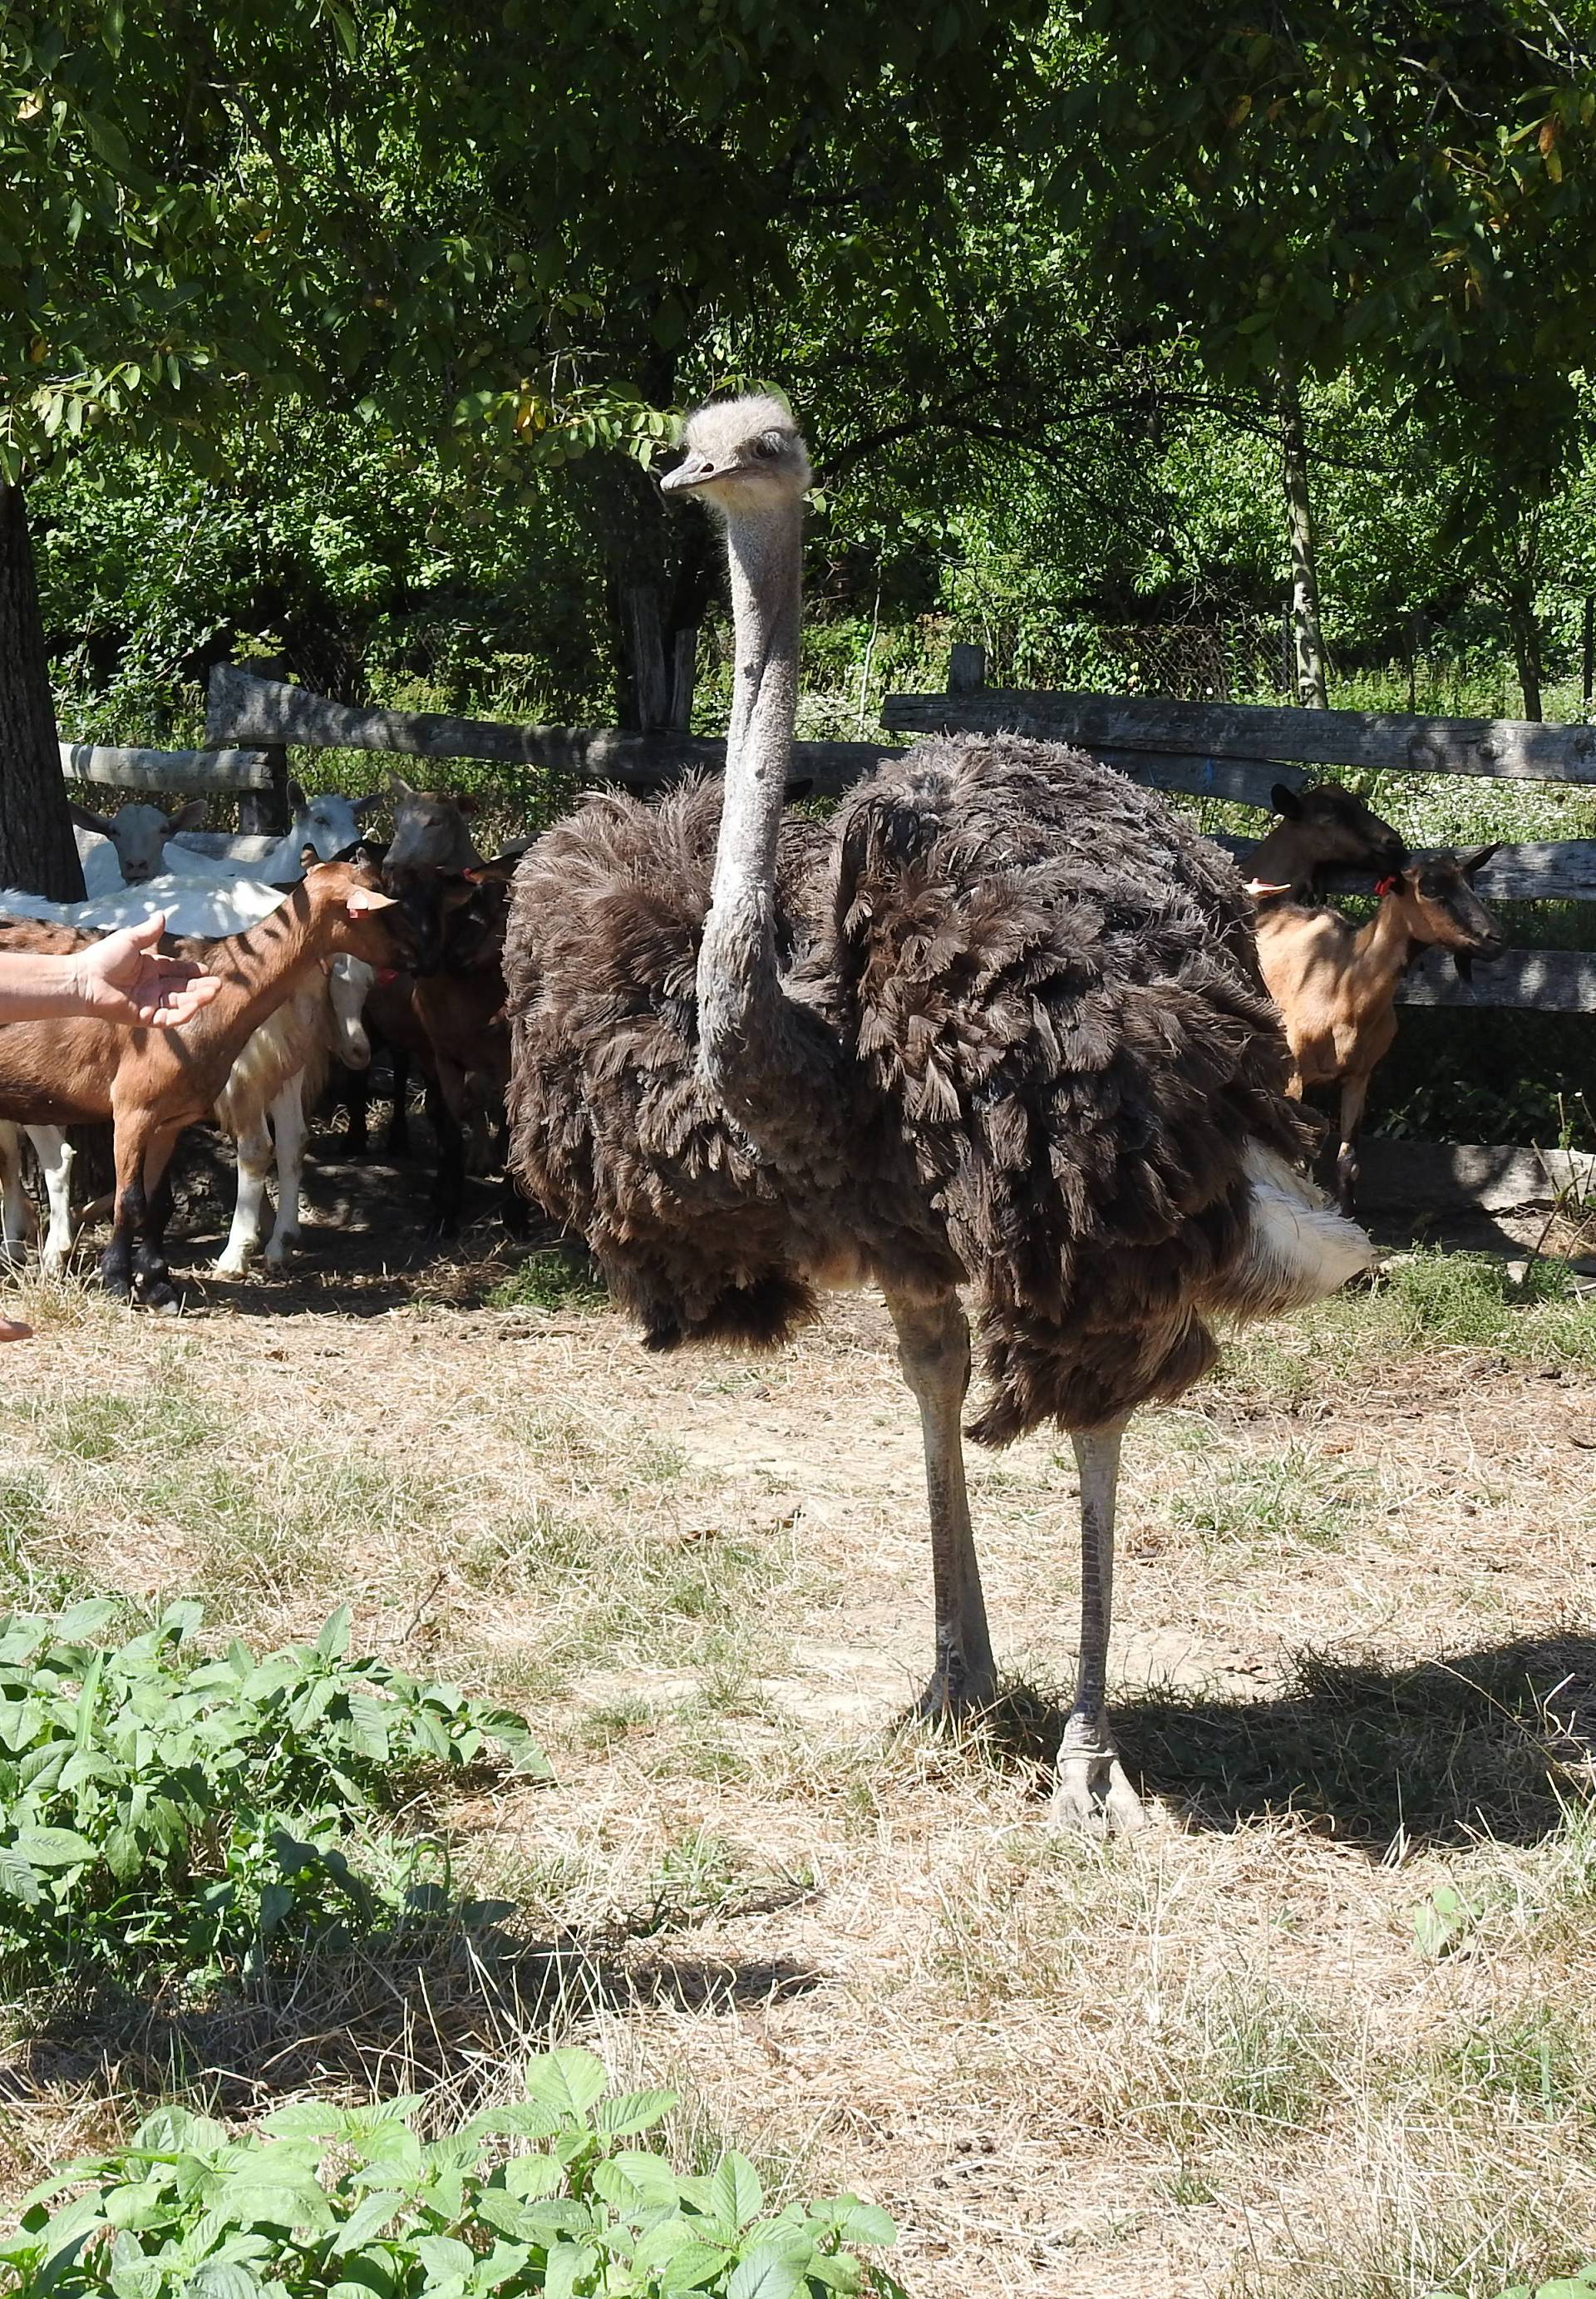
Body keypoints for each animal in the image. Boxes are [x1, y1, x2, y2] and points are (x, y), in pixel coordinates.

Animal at [0, 864, 411, 1305]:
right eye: (377, 908)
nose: (413, 955)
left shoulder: (149, 1113)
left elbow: (135, 1195)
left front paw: (134, 1278)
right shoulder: (136, 1111)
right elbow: (133, 1198)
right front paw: (125, 1278)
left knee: (264, 1145)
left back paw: (245, 1250)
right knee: (286, 1142)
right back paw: (271, 1242)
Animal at [1260, 836, 1508, 1213]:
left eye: (1471, 882)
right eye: (1429, 888)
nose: (1495, 939)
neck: (1344, 985)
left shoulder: (1359, 1076)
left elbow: (1348, 1162)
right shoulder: (1294, 1075)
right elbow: (1298, 1162)